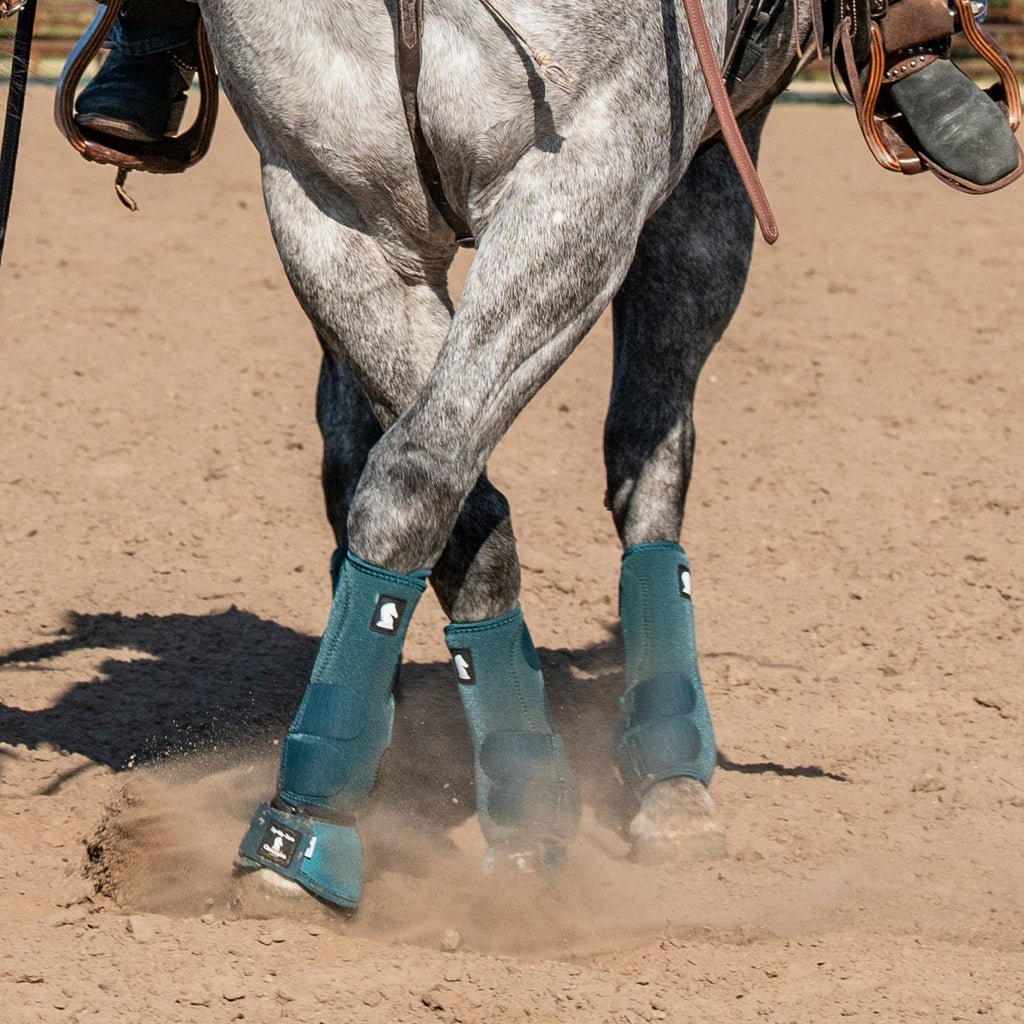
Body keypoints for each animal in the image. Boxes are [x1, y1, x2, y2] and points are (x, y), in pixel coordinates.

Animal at [187, 0, 813, 911]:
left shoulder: (585, 185)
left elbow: (419, 472)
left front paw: (309, 827)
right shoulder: (330, 211)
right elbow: (447, 504)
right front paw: (509, 800)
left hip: (709, 178)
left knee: (648, 455)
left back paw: (671, 778)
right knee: (350, 457)